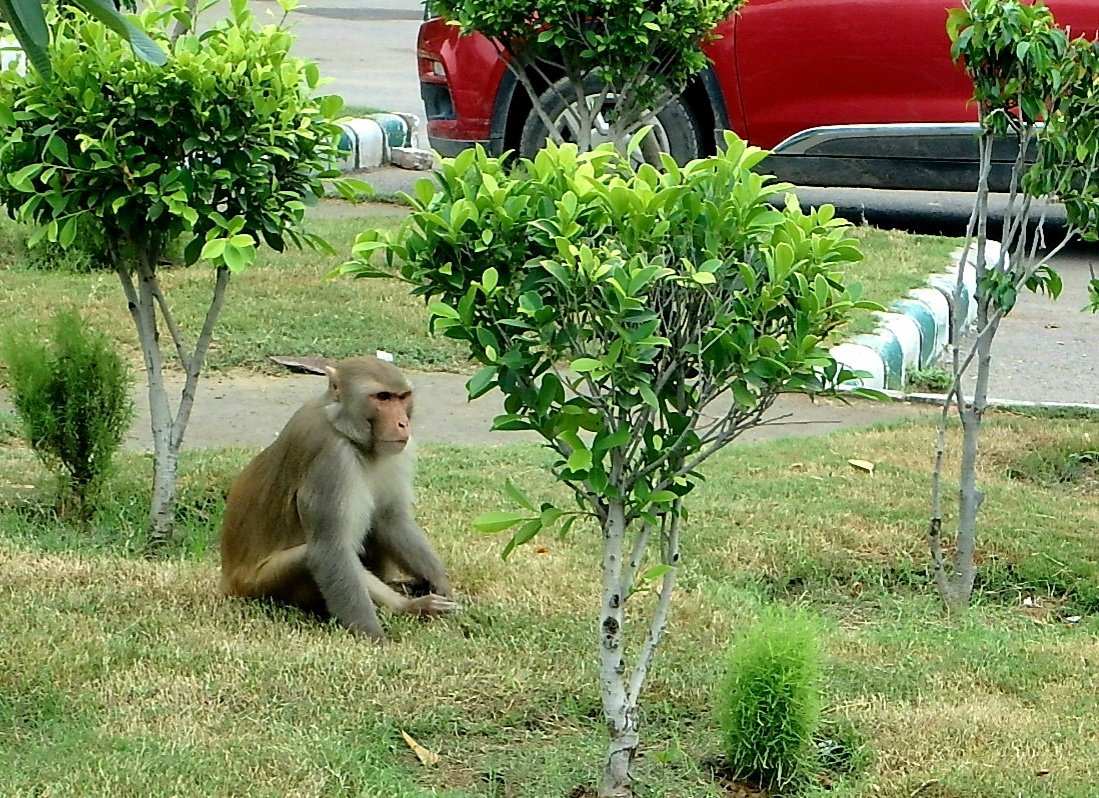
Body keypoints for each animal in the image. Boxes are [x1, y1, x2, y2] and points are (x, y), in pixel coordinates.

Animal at [219, 356, 456, 640]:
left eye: (402, 397)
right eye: (383, 397)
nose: (402, 423)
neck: (344, 429)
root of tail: (228, 581)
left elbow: (390, 518)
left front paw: (440, 582)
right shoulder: (331, 458)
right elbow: (330, 551)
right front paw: (374, 638)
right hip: (258, 587)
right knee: (309, 556)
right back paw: (407, 607)